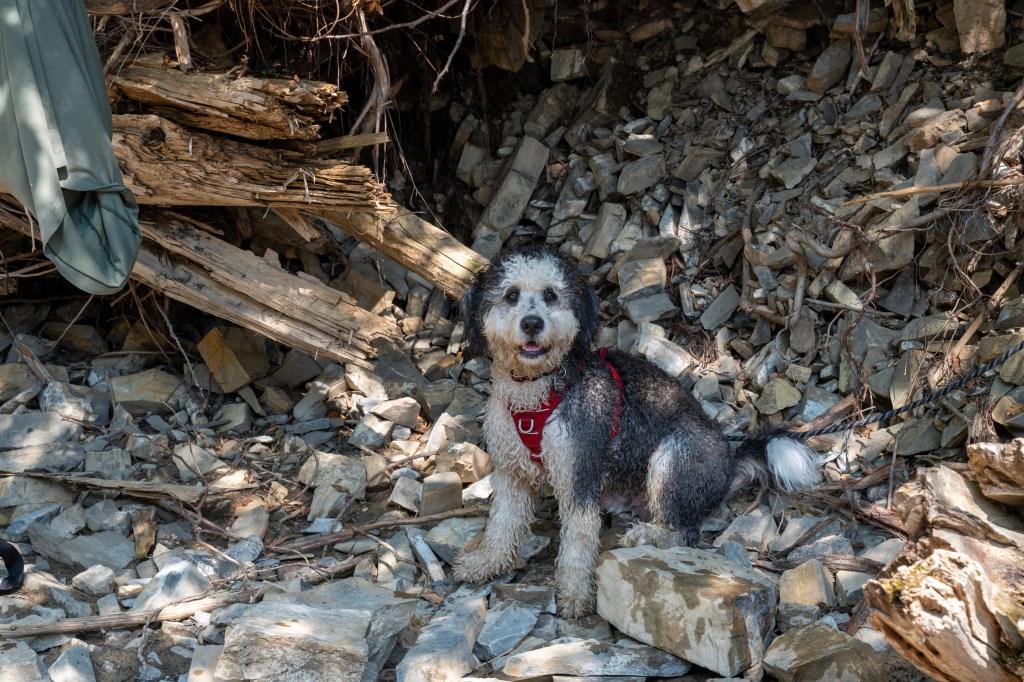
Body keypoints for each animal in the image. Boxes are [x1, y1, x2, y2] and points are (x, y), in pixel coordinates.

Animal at [452, 245, 820, 617]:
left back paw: (646, 536)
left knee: (683, 531)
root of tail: (729, 467)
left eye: (551, 295)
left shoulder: (579, 470)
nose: (532, 323)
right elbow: (501, 523)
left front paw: (575, 594)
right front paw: (486, 563)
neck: (538, 391)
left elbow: (578, 540)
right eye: (511, 295)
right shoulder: (511, 471)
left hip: (675, 455)